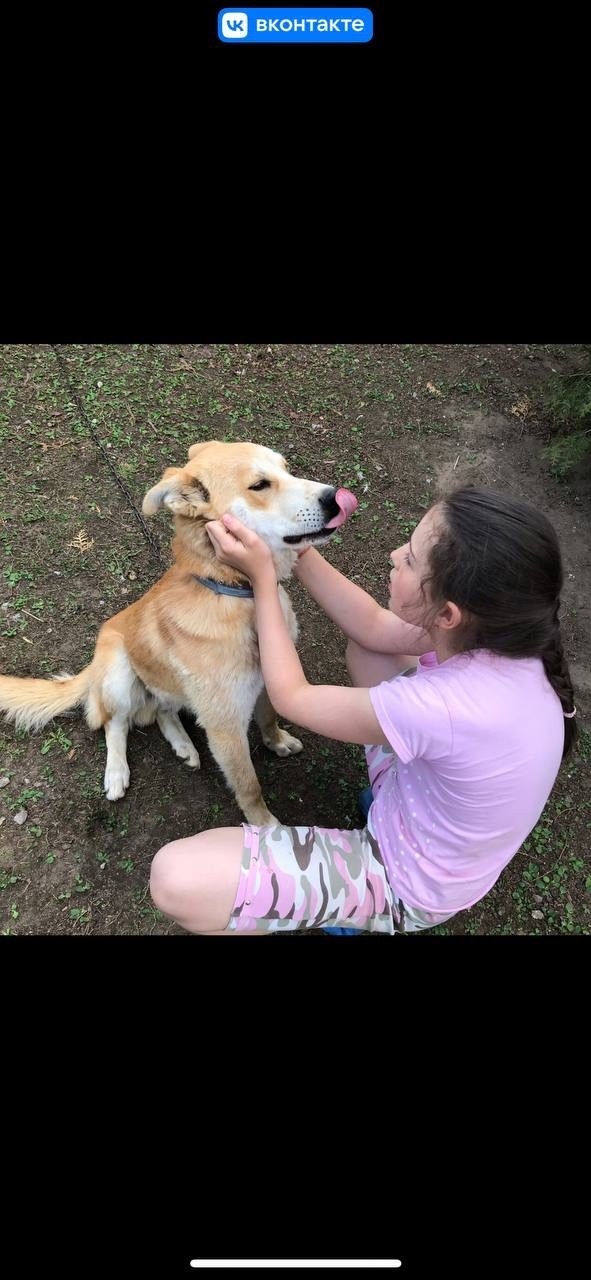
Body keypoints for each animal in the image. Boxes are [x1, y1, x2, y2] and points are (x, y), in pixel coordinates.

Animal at [0, 440, 357, 826]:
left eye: (287, 469)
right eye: (260, 485)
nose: (335, 498)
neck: (235, 593)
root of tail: (92, 670)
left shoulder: (267, 683)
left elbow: (269, 716)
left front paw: (276, 741)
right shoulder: (224, 726)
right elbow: (248, 785)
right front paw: (266, 827)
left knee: (162, 711)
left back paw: (184, 745)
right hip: (118, 673)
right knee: (115, 724)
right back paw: (116, 773)